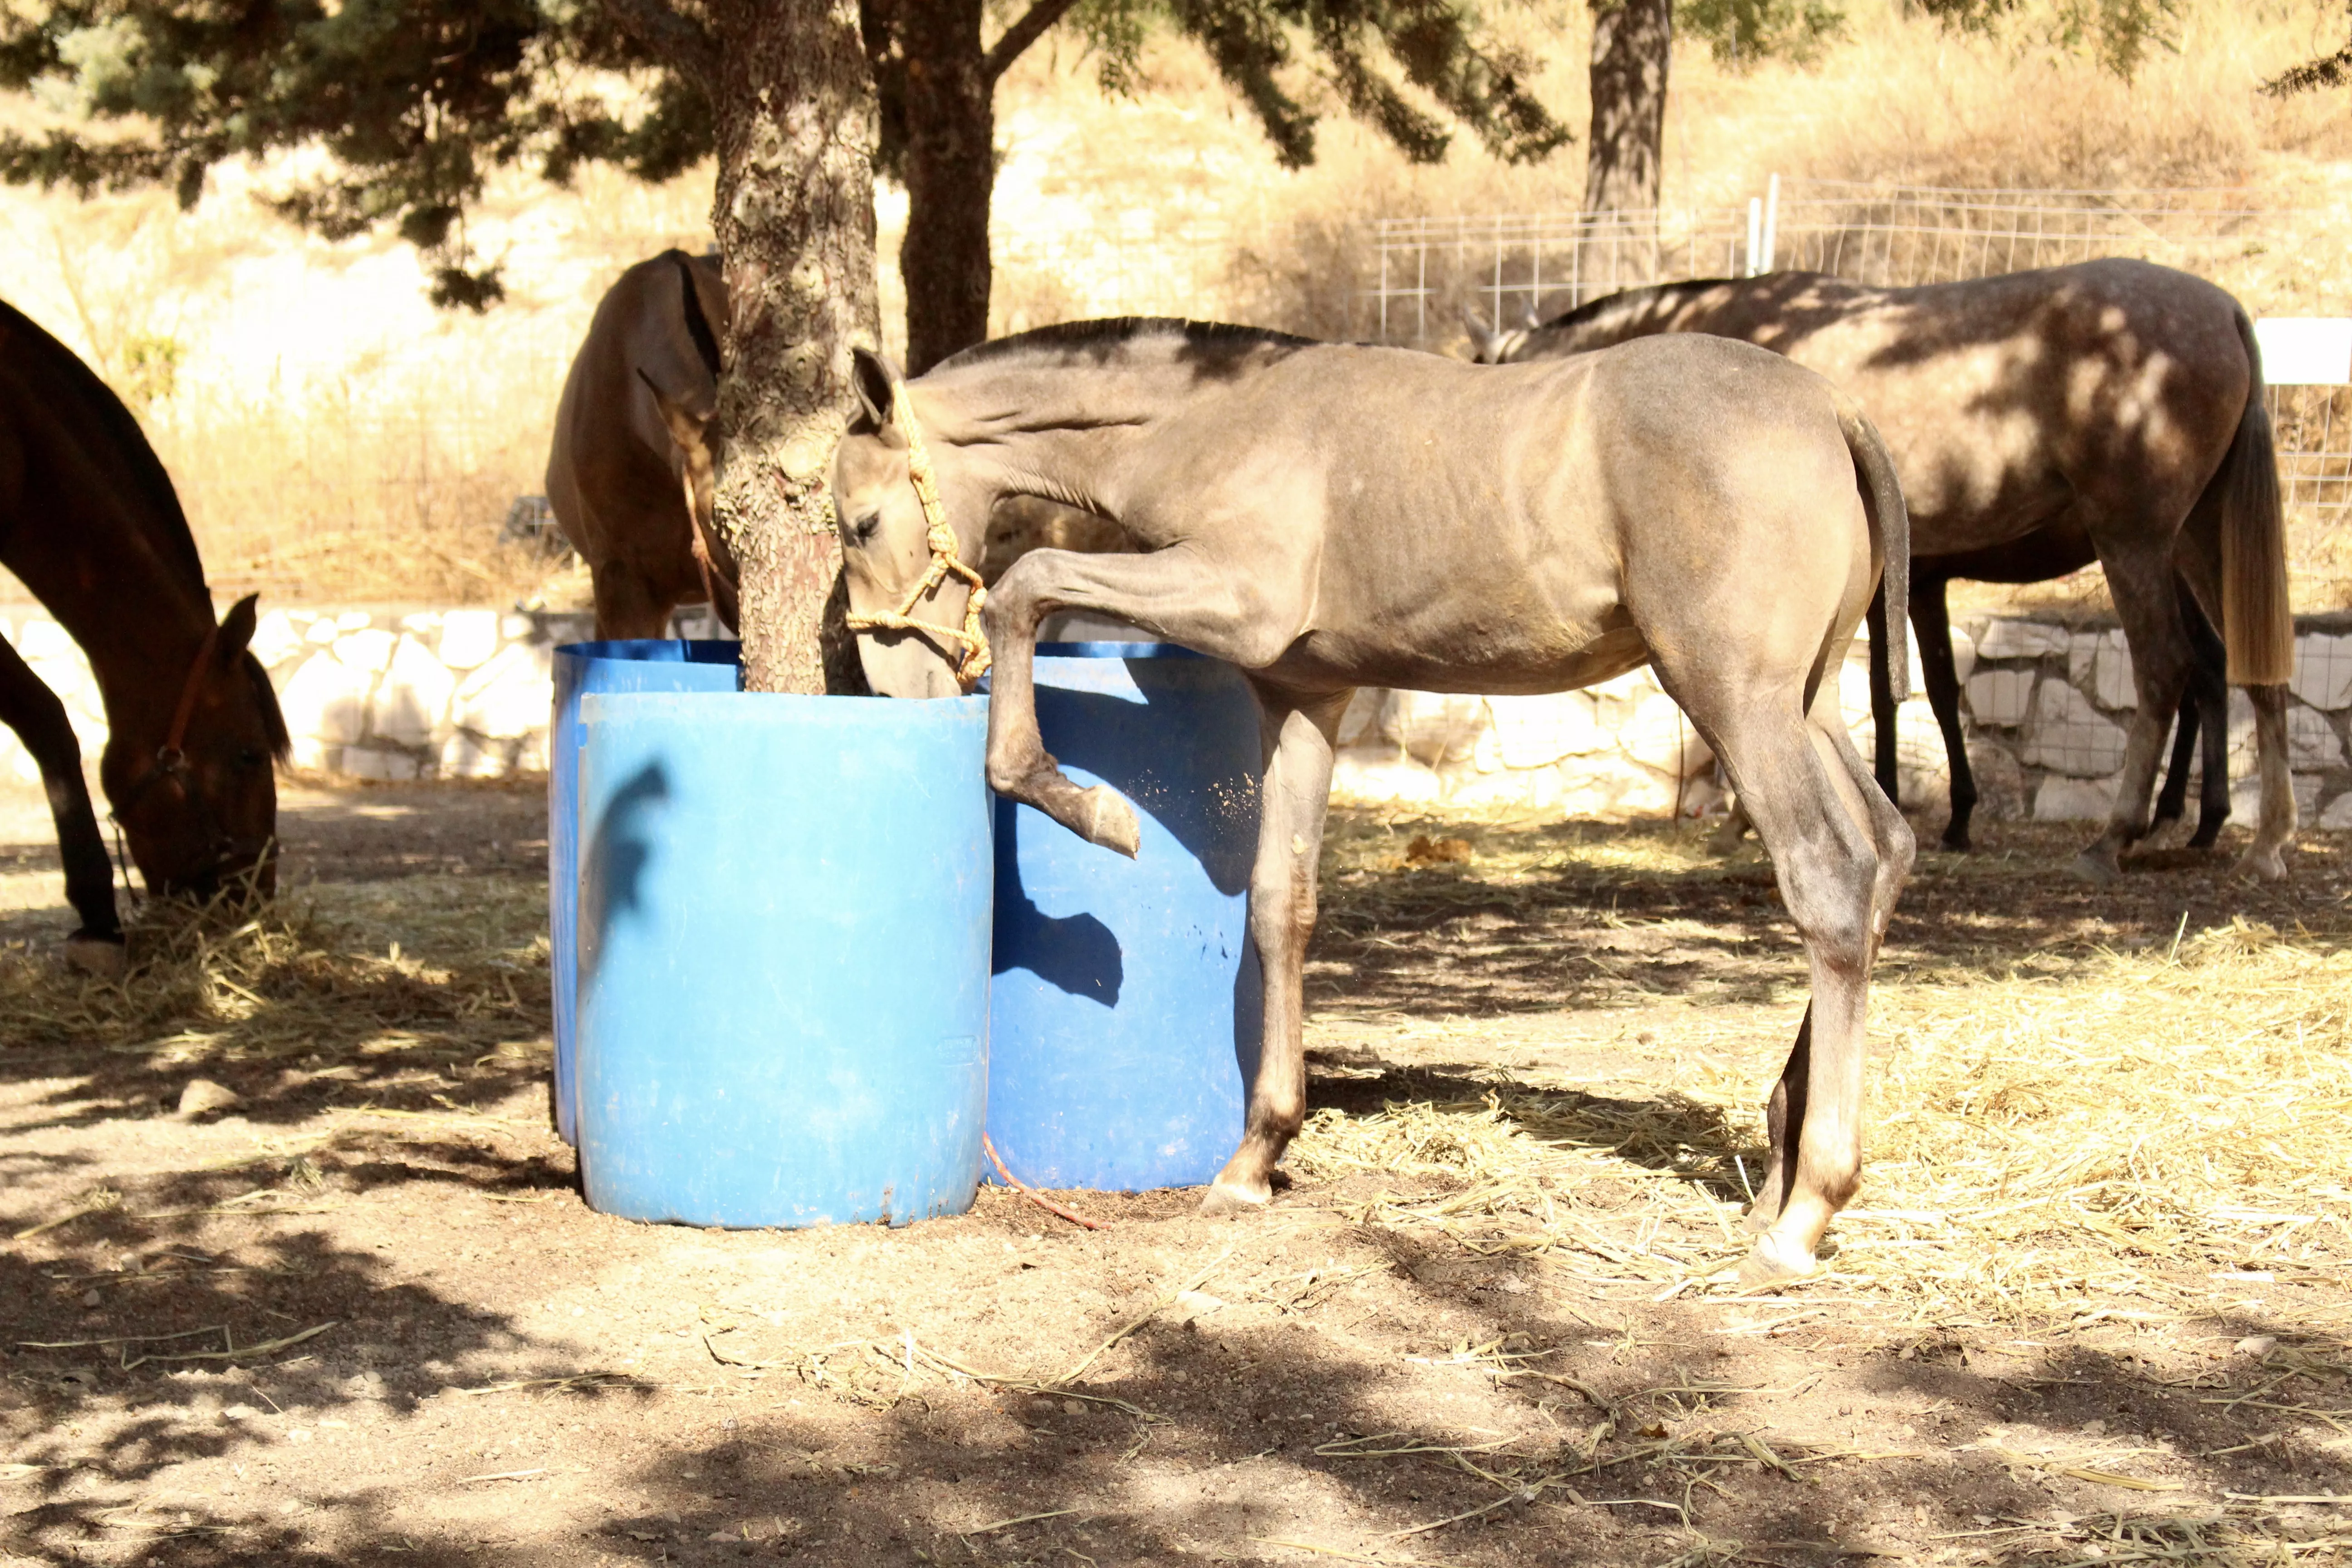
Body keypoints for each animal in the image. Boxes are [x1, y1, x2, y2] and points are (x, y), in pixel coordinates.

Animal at [837, 322, 1919, 1288]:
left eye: (859, 523)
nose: (889, 684)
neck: (1217, 416)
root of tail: (1833, 407)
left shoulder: (1233, 599)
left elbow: (1026, 587)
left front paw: (1079, 802)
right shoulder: (1301, 697)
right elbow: (1280, 905)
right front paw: (1255, 1156)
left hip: (1735, 697)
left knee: (1828, 875)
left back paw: (1805, 1211)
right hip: (1808, 702)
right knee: (1887, 852)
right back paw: (1778, 1162)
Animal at [1467, 263, 2295, 888]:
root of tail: (2222, 310)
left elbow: (1887, 695)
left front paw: (1746, 819)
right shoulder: (1906, 586)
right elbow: (1902, 692)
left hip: (2135, 539)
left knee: (2167, 669)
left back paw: (2117, 835)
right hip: (2199, 538)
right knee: (2251, 669)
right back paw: (2260, 840)